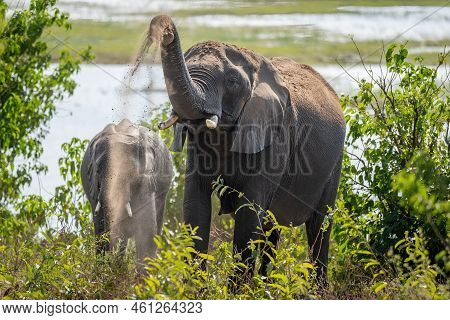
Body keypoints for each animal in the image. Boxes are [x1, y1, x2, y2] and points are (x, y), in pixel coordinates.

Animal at [150, 15, 344, 284]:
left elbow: (249, 215)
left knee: (319, 226)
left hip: (334, 164)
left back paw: (317, 289)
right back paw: (265, 286)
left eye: (232, 81)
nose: (164, 27)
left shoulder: (276, 136)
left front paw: (236, 291)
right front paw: (195, 289)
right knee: (271, 229)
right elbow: (195, 207)